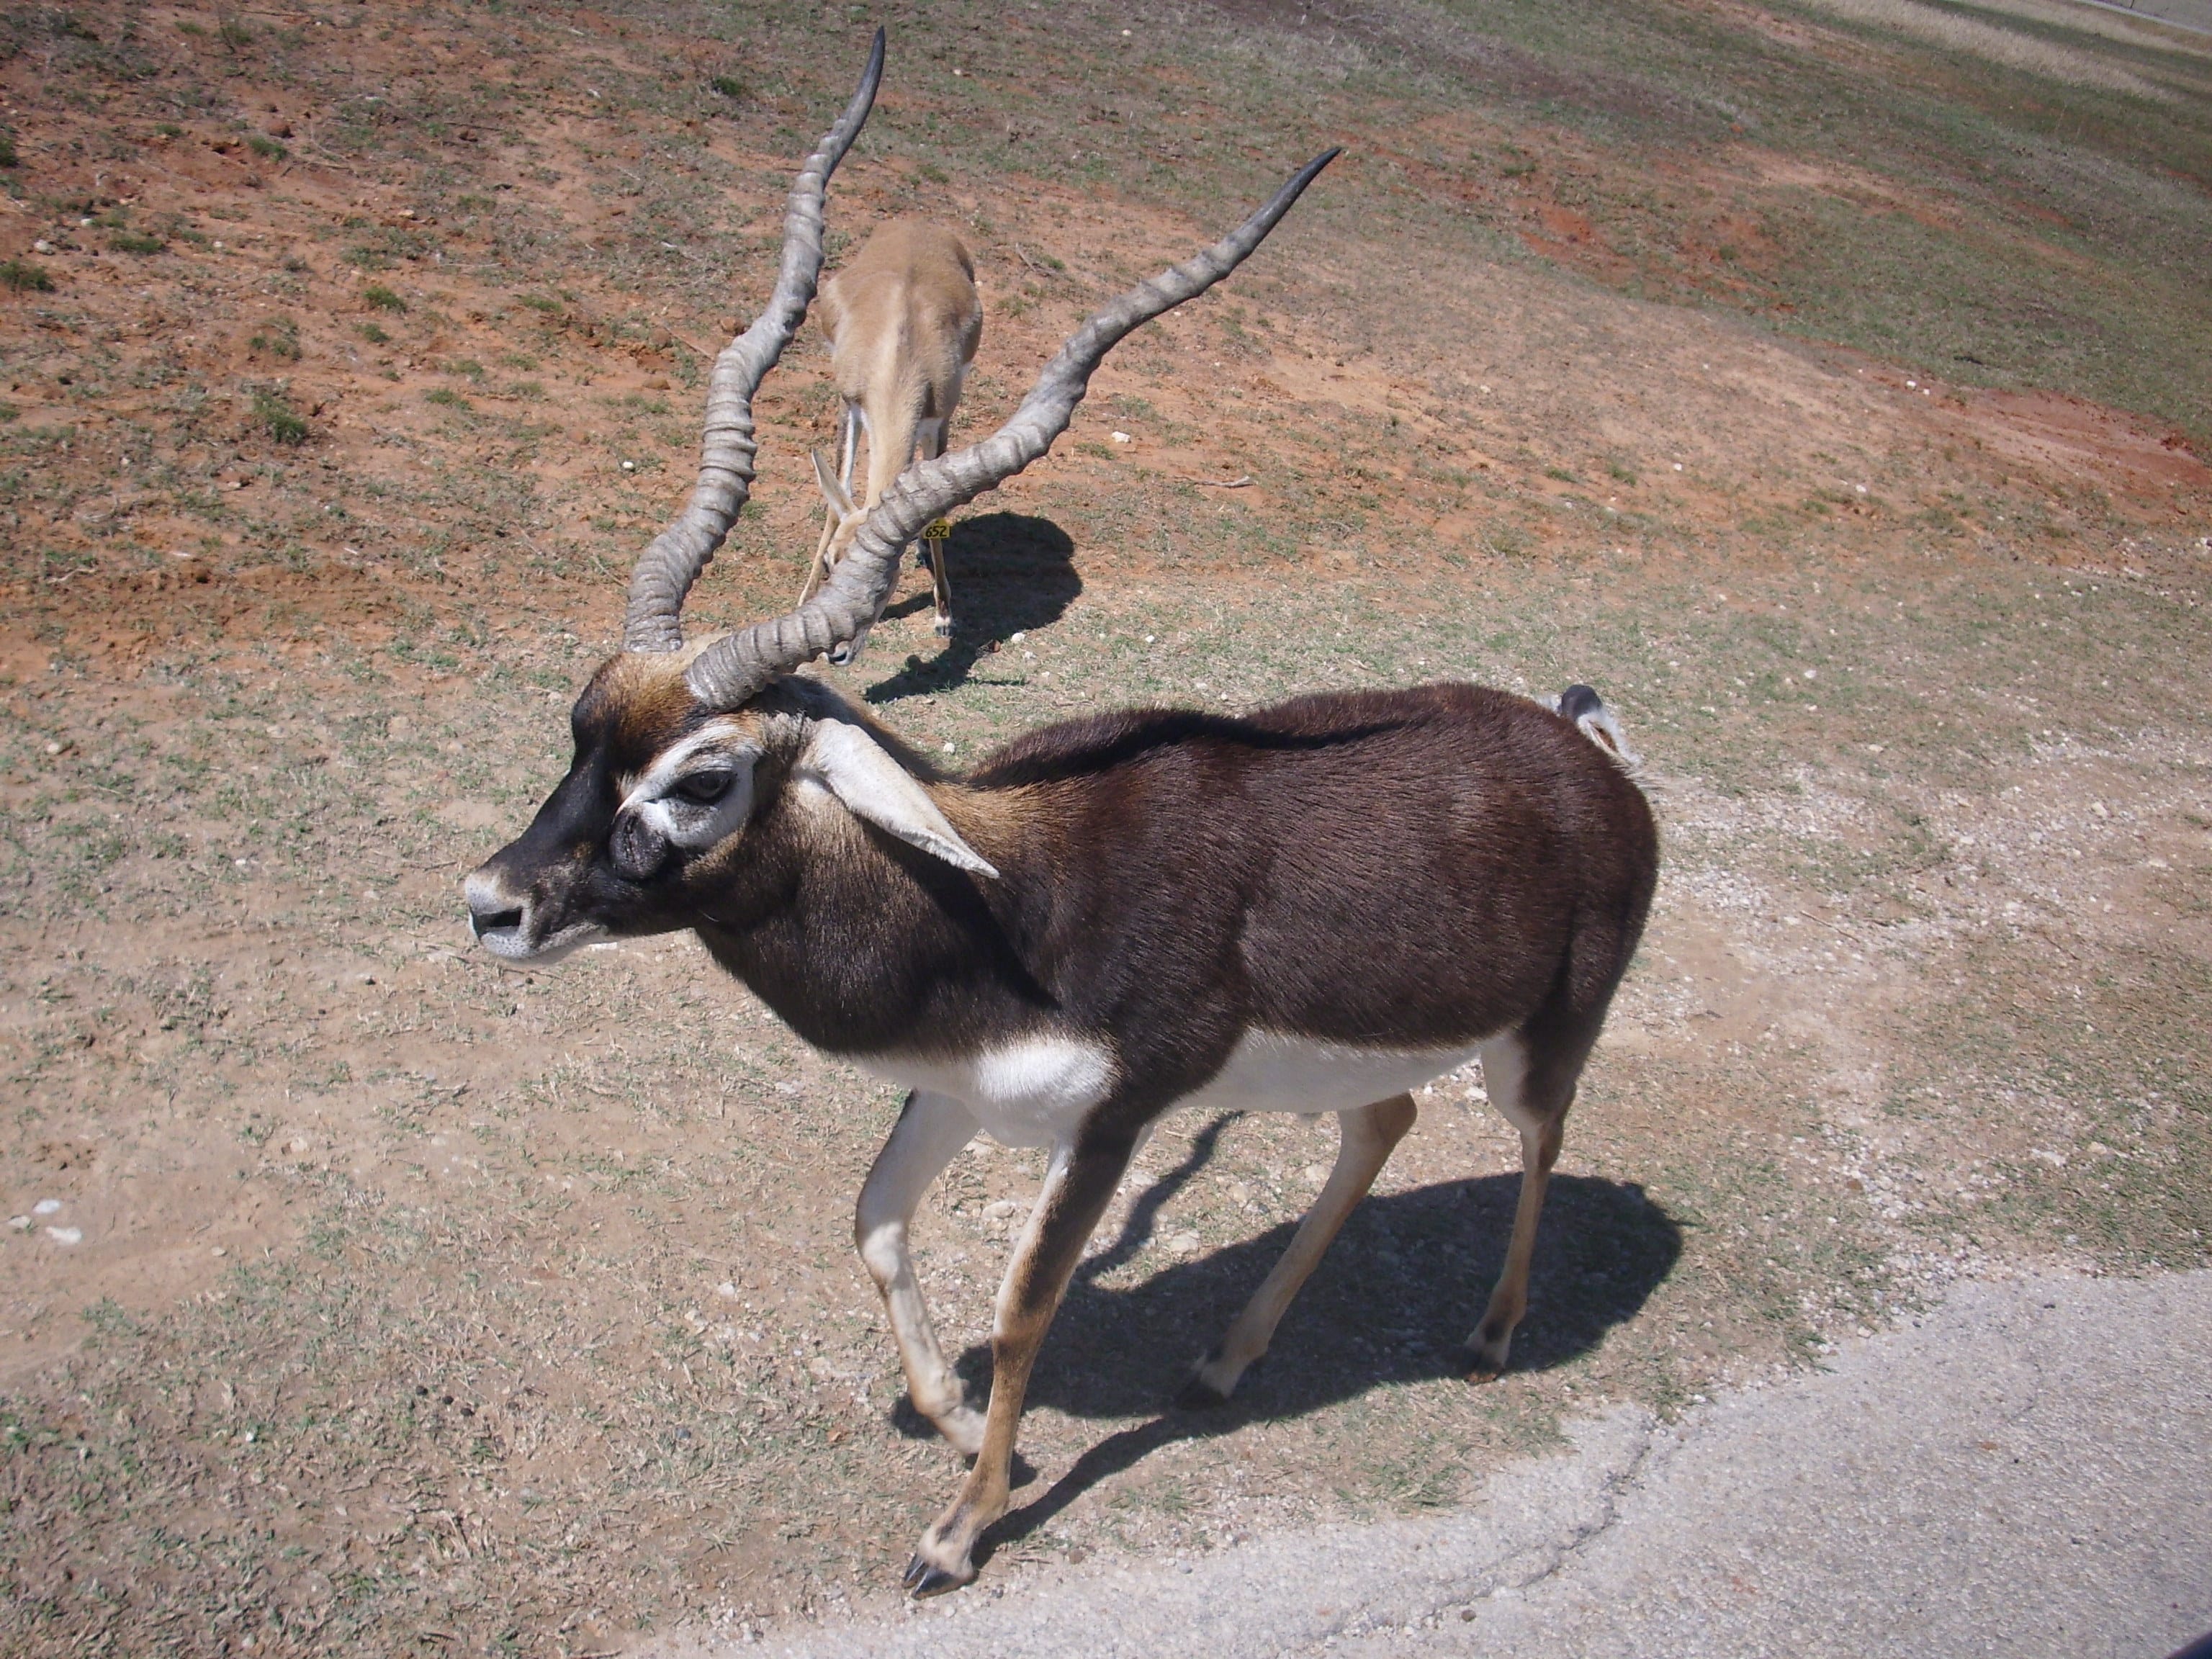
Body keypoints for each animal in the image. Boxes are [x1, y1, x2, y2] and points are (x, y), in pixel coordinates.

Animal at [801, 217, 983, 657]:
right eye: (830, 564)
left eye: (878, 588)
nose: (835, 652)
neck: (901, 353)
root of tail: (919, 223)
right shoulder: (849, 404)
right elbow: (838, 495)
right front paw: (804, 599)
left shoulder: (937, 422)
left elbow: (935, 512)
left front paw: (944, 615)